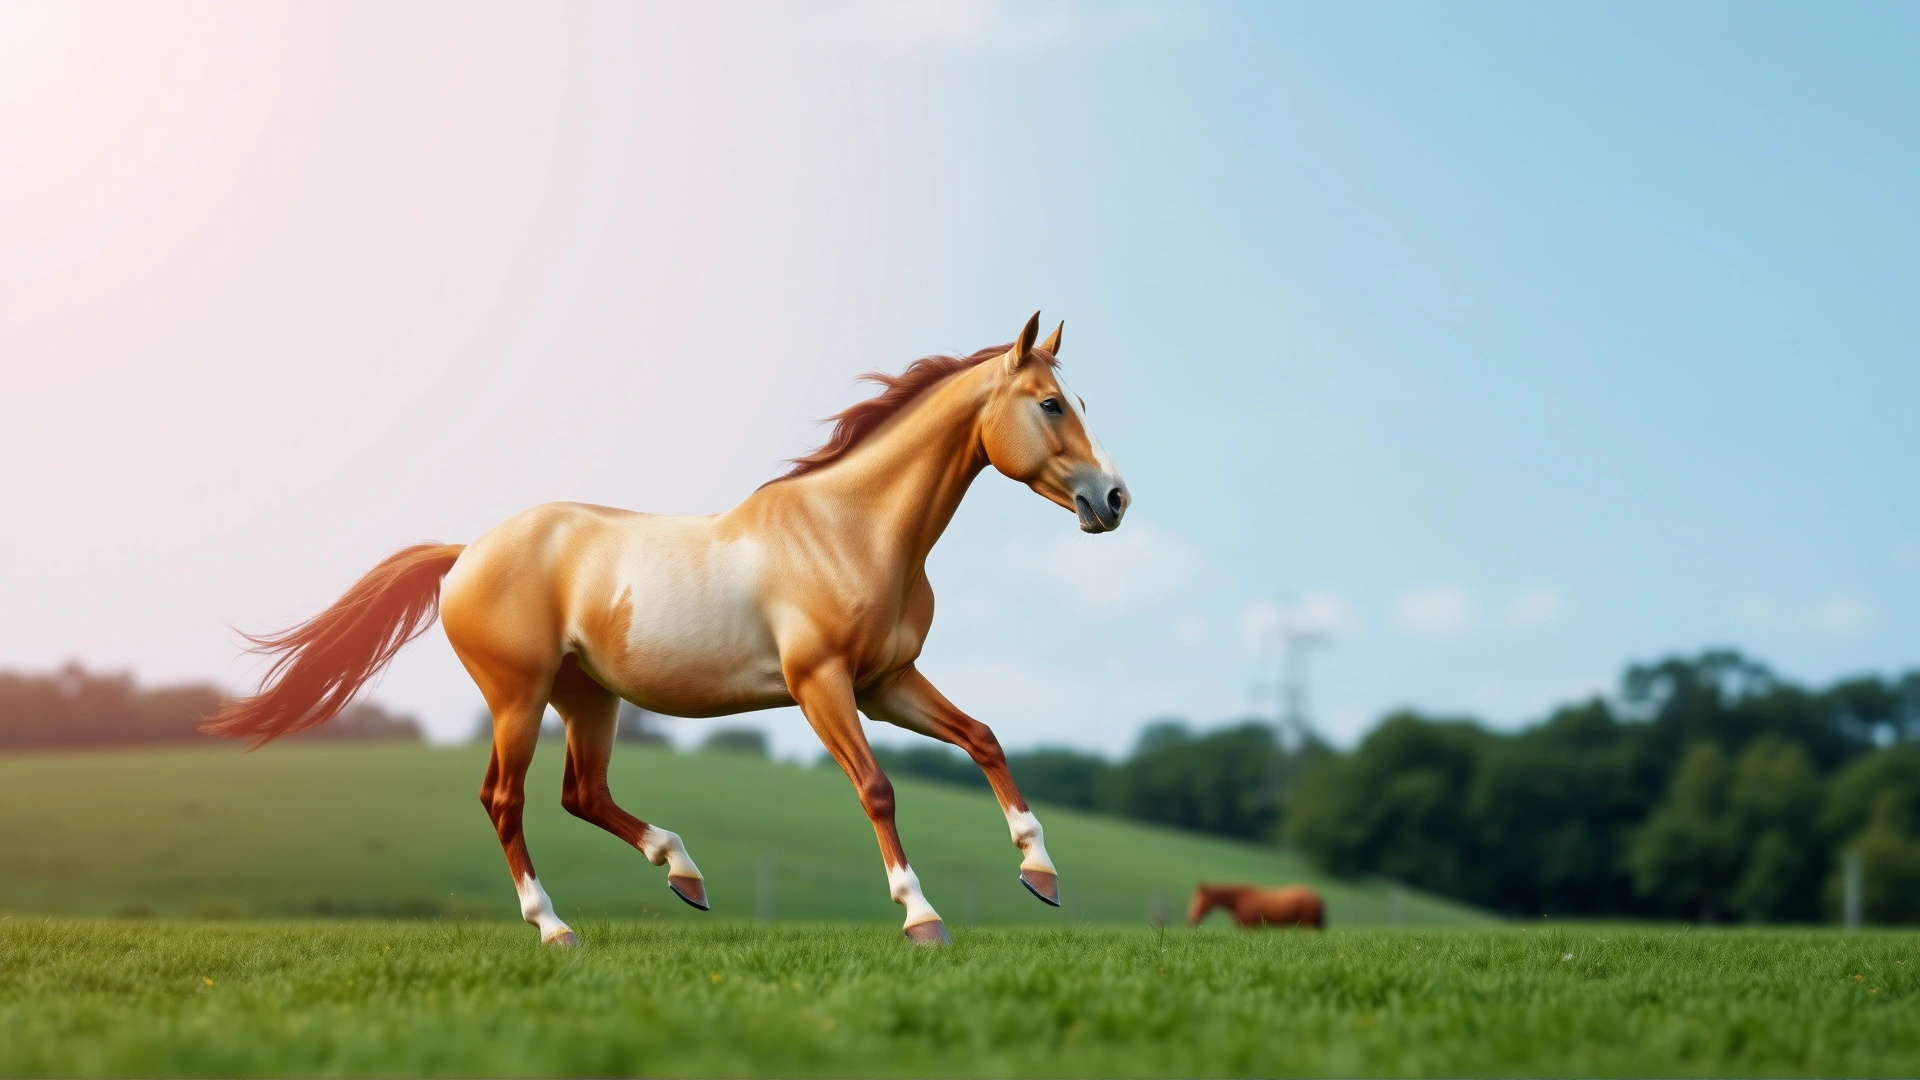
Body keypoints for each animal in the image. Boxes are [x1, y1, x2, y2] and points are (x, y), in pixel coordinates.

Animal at [204, 312, 1129, 947]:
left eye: (1083, 399)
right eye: (1052, 404)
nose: (1113, 500)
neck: (851, 529)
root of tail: (467, 553)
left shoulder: (885, 682)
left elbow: (983, 738)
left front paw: (1039, 874)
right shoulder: (821, 686)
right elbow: (877, 788)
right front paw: (922, 918)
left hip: (587, 698)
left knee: (582, 794)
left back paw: (684, 874)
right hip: (519, 696)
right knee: (506, 799)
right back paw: (556, 929)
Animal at [1188, 883, 1326, 929]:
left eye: (1199, 900)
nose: (1192, 918)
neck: (1238, 900)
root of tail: (1317, 897)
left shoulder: (1248, 926)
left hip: (1307, 924)